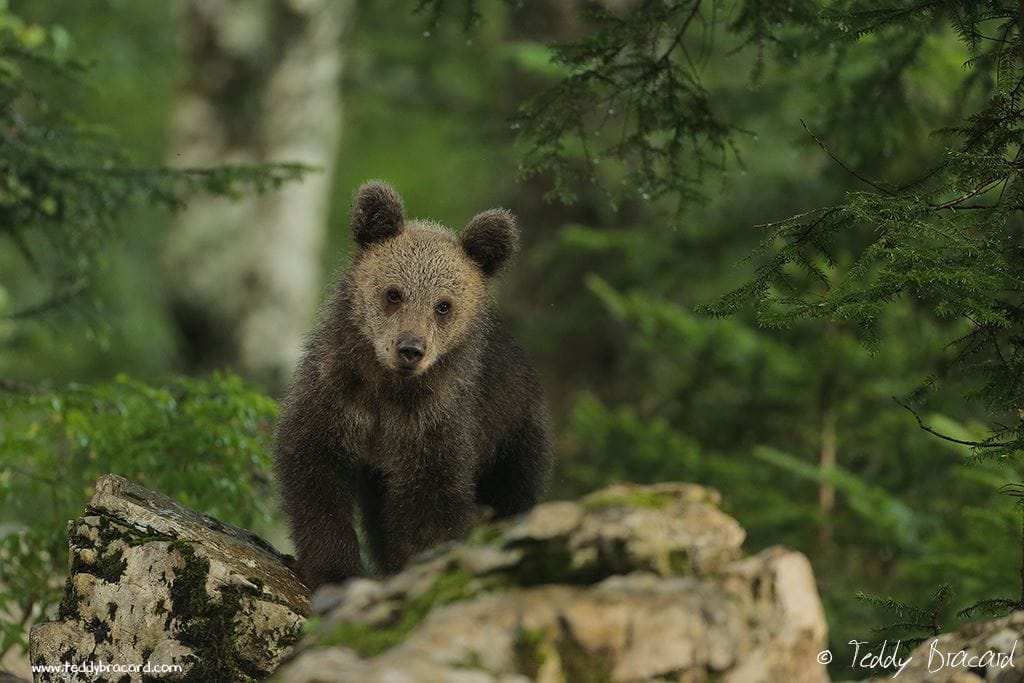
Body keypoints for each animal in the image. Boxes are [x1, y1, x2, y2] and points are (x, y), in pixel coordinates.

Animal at [274, 181, 552, 590]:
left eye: (443, 305)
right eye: (394, 293)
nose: (410, 349)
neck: (386, 390)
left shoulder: (434, 423)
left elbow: (430, 507)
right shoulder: (334, 398)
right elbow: (316, 477)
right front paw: (333, 570)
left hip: (514, 435)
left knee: (512, 496)